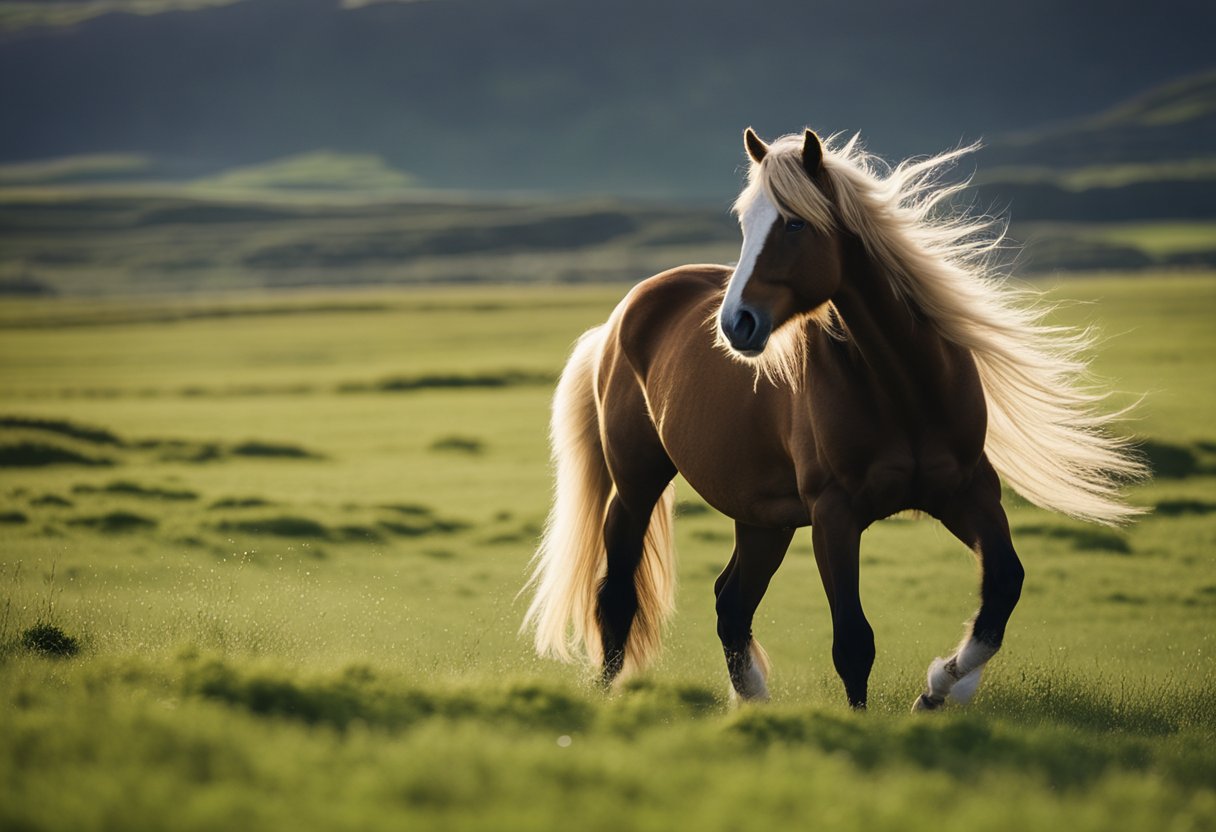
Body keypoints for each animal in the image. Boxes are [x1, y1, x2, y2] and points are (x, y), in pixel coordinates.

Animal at [520, 126, 1138, 710]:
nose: (735, 324)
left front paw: (940, 689)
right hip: (637, 485)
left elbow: (1002, 592)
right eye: (746, 223)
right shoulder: (834, 515)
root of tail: (622, 315)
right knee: (617, 596)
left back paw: (755, 702)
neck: (904, 385)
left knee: (730, 603)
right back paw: (608, 695)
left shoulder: (967, 492)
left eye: (794, 224)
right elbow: (853, 642)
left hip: (762, 518)